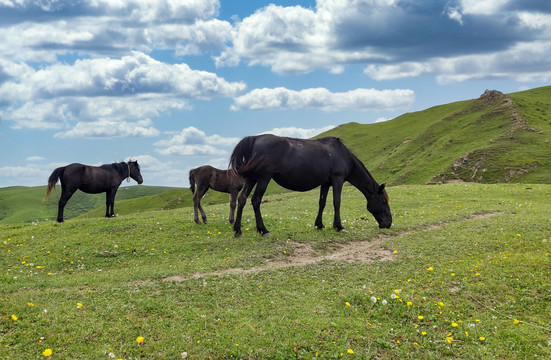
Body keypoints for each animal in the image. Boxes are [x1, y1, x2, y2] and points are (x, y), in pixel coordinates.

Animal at [229, 134, 392, 238]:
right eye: (384, 201)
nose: (389, 223)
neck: (343, 155)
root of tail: (255, 138)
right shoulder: (337, 180)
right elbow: (337, 202)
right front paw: (339, 227)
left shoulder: (326, 183)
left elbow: (322, 203)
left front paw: (319, 225)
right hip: (264, 177)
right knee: (255, 200)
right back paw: (264, 230)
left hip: (252, 178)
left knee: (242, 199)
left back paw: (238, 230)